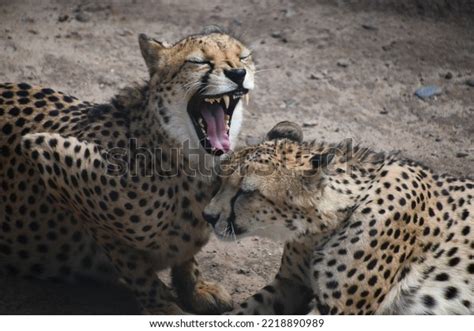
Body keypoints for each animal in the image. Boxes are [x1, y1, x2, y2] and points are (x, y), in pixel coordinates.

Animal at [0, 27, 256, 316]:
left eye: (243, 57)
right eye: (198, 61)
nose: (238, 74)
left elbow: (185, 255)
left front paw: (196, 287)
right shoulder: (46, 154)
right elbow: (135, 268)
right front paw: (162, 308)